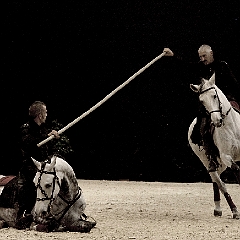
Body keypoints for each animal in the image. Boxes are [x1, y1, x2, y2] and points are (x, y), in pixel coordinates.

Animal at [188, 73, 240, 219]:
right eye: (202, 101)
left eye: (214, 96)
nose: (216, 121)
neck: (232, 127)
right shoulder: (226, 156)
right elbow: (237, 170)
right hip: (208, 161)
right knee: (218, 181)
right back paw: (230, 210)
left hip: (220, 163)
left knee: (218, 180)